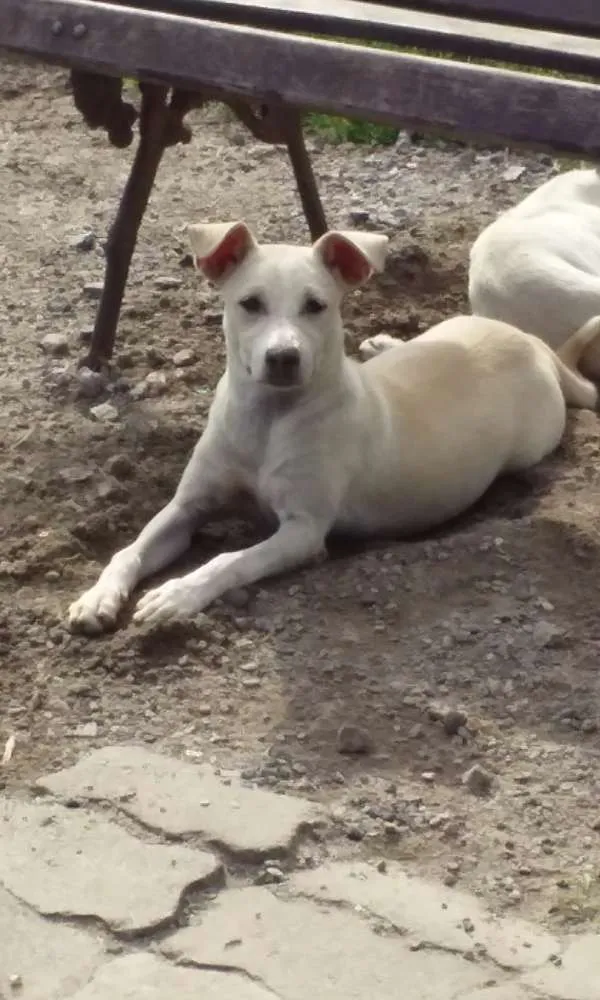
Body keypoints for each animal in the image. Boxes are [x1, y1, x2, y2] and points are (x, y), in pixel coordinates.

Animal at [67, 224, 600, 632]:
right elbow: (130, 549)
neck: (270, 419)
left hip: (531, 442)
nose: (283, 358)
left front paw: (177, 593)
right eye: (250, 303)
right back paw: (379, 345)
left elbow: (228, 559)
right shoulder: (187, 506)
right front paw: (97, 597)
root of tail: (531, 342)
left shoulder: (303, 530)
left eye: (316, 306)